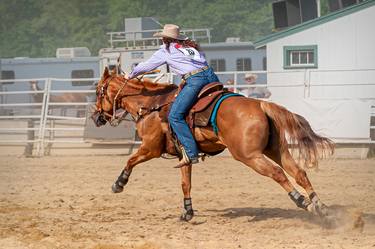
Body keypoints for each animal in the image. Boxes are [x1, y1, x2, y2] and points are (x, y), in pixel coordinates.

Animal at [92, 67, 334, 221]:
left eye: (98, 91)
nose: (95, 117)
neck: (151, 105)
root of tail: (261, 104)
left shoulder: (150, 148)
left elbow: (130, 160)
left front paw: (119, 183)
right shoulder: (184, 156)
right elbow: (185, 183)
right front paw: (187, 212)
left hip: (249, 155)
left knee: (277, 173)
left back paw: (302, 201)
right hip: (276, 149)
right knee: (299, 172)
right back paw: (320, 206)